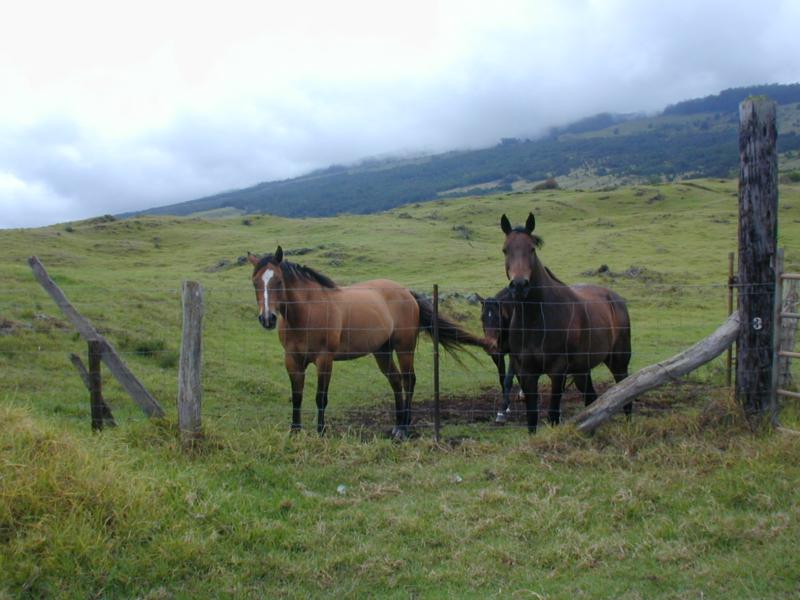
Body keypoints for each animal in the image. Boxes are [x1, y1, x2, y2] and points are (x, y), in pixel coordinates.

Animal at [247, 246, 484, 438]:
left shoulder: (325, 360)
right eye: (255, 282)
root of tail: (406, 292)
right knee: (396, 381)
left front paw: (321, 432)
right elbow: (296, 397)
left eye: (278, 281)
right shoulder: (292, 360)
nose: (267, 318)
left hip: (404, 348)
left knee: (409, 380)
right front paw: (294, 432)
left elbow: (320, 397)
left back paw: (405, 428)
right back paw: (397, 426)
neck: (307, 313)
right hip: (382, 352)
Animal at [500, 213, 632, 428]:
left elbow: (553, 414)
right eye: (505, 250)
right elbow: (532, 417)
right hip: (581, 370)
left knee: (627, 395)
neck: (536, 319)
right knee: (591, 399)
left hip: (618, 362)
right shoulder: (526, 372)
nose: (519, 285)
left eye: (532, 249)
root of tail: (615, 298)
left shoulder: (558, 371)